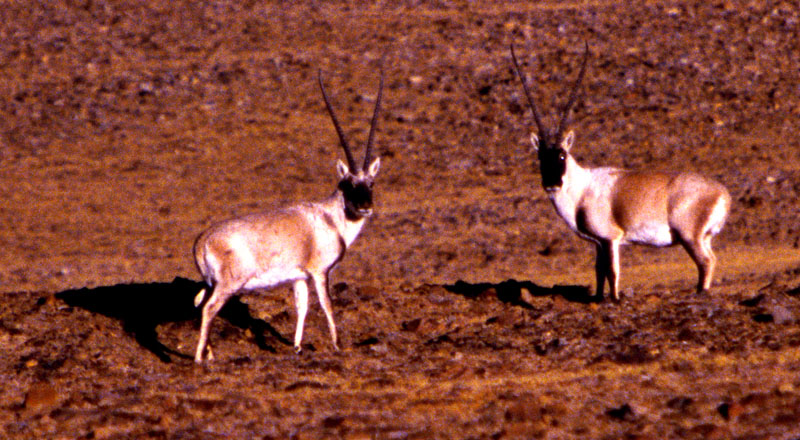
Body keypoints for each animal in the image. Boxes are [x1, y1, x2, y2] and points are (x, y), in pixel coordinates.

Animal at [191, 69, 384, 362]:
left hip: (215, 284)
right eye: (349, 183)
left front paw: (297, 347)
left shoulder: (299, 277)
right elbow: (327, 305)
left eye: (370, 183)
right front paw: (338, 345)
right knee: (209, 308)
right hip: (228, 284)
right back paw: (200, 358)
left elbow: (302, 306)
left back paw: (209, 353)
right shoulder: (319, 272)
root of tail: (202, 242)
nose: (364, 207)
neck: (330, 217)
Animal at [512, 43, 732, 300]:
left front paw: (615, 300)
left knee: (706, 262)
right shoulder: (598, 243)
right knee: (711, 259)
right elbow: (598, 271)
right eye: (540, 157)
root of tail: (723, 194)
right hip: (702, 239)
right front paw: (598, 298)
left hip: (690, 237)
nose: (552, 184)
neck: (583, 187)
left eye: (562, 155)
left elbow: (612, 271)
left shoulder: (610, 239)